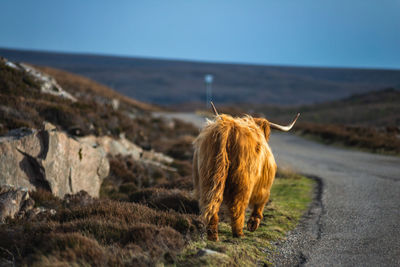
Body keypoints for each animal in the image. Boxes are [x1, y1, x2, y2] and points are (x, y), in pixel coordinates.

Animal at [192, 103, 298, 242]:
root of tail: (228, 125)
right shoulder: (264, 185)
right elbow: (261, 202)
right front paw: (253, 224)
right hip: (243, 181)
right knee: (238, 205)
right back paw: (239, 233)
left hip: (207, 176)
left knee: (210, 202)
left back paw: (213, 235)